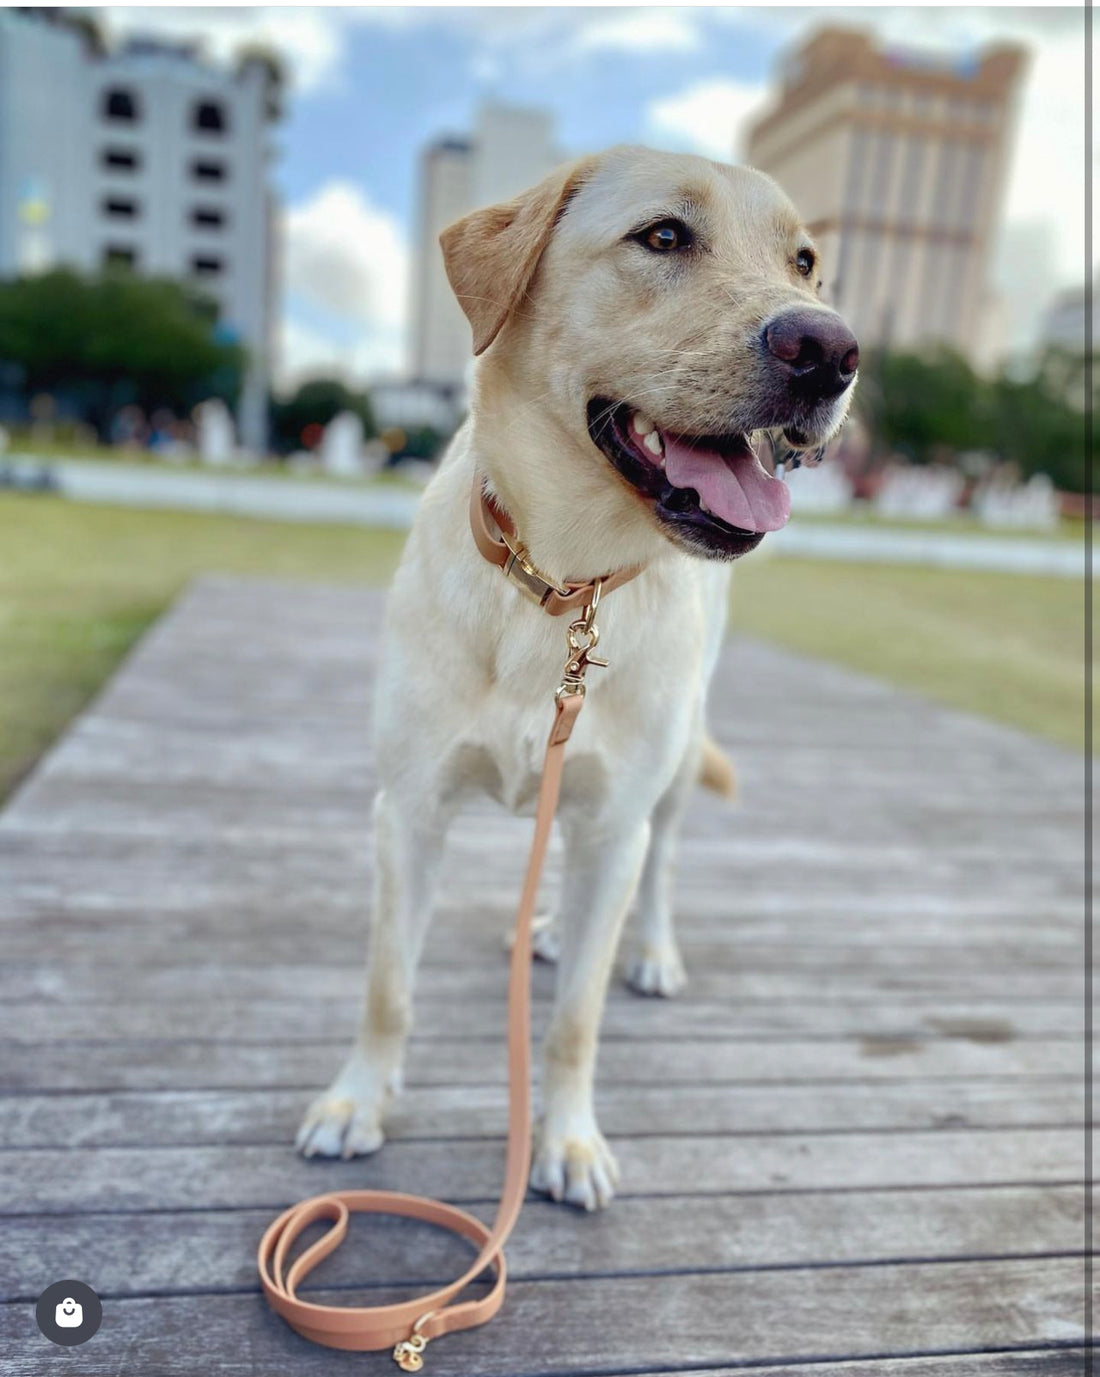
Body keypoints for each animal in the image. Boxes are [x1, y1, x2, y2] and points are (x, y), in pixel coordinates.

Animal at [297, 145, 853, 1211]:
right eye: (664, 236)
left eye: (804, 262)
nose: (832, 348)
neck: (561, 581)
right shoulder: (408, 811)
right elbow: (388, 987)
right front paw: (358, 1101)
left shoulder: (613, 819)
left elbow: (572, 1019)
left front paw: (566, 1139)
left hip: (663, 779)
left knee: (659, 866)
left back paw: (651, 949)